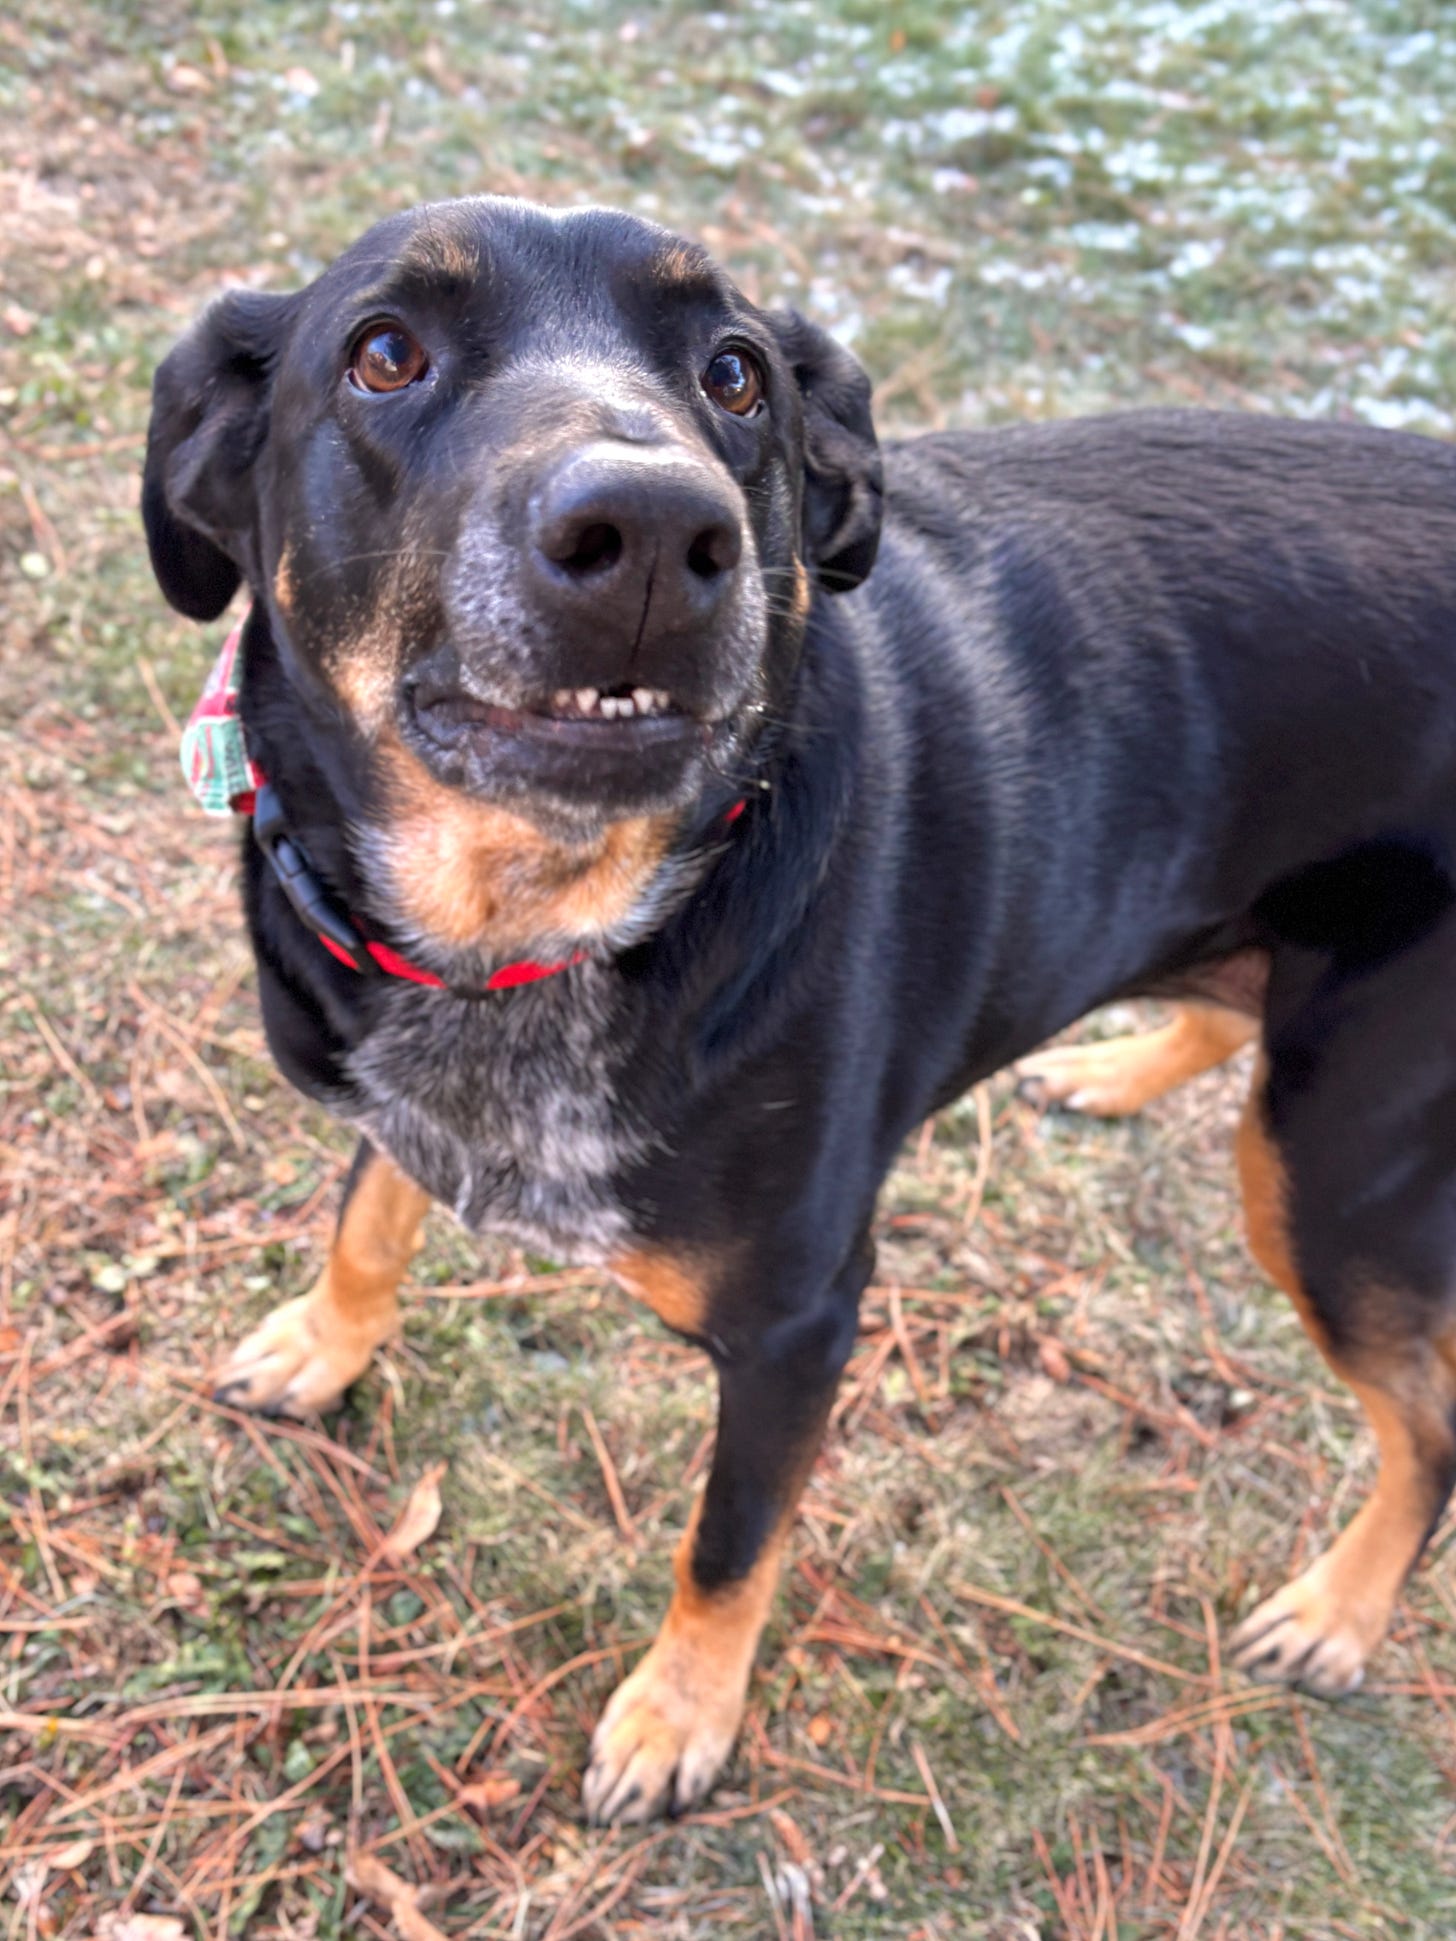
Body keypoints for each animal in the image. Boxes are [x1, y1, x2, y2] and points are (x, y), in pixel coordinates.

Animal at [142, 197, 1456, 1816]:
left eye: (736, 373)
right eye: (385, 353)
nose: (654, 534)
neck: (544, 929)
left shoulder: (799, 1329)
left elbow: (729, 1545)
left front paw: (677, 1716)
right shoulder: (400, 1074)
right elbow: (369, 1209)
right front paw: (319, 1342)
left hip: (1337, 1160)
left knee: (1430, 1425)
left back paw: (1337, 1612)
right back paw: (1115, 1064)